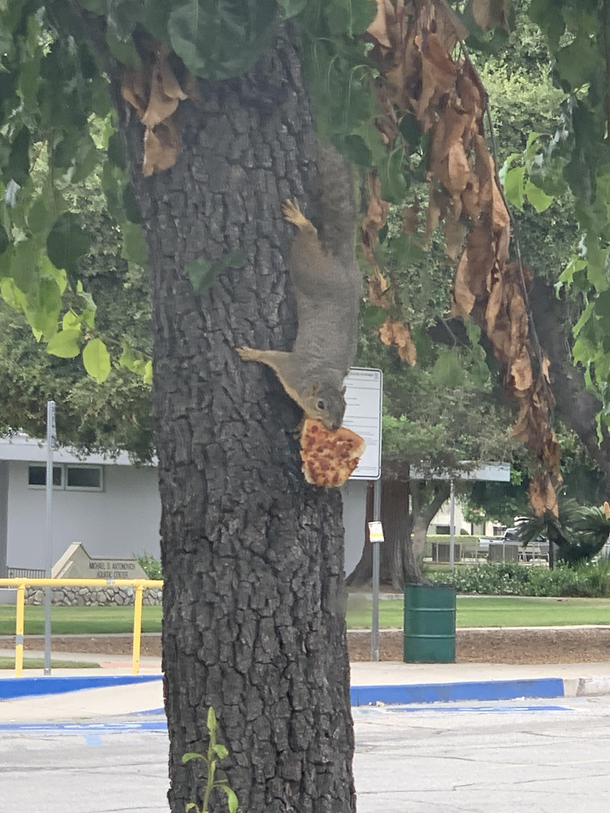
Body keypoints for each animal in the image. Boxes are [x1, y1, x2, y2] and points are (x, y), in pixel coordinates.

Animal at [236, 141, 360, 432]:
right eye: (321, 405)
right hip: (311, 266)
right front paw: (252, 352)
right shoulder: (292, 369)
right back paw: (299, 219)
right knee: (310, 235)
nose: (334, 427)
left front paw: (301, 423)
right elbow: (272, 357)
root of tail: (343, 265)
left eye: (345, 407)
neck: (318, 377)